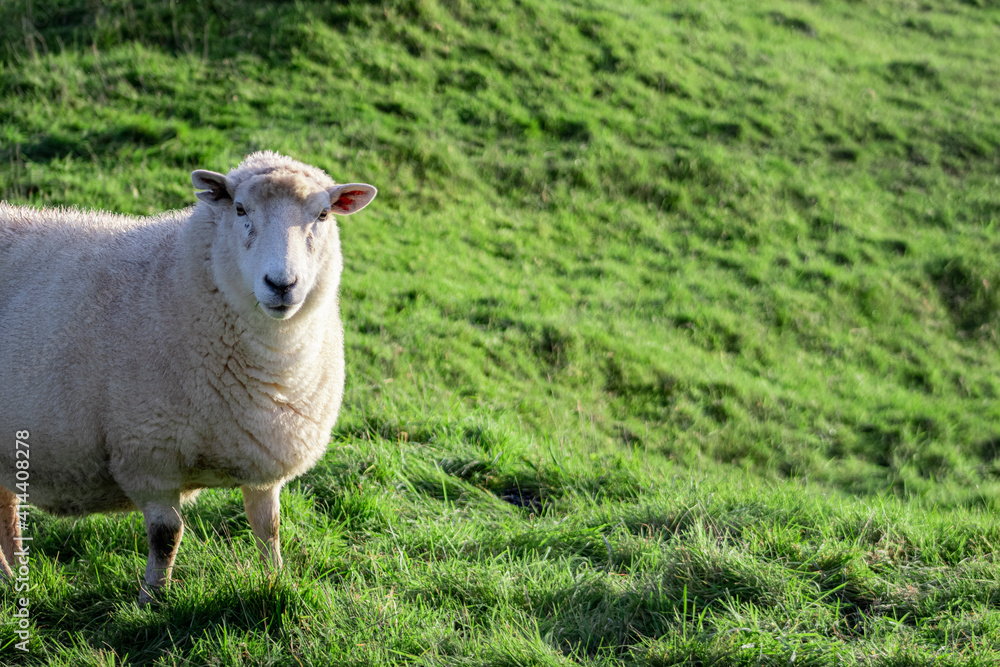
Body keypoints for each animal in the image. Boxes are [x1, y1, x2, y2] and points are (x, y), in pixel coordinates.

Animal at [0, 151, 377, 603]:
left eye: (322, 214)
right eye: (239, 209)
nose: (281, 284)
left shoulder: (262, 458)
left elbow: (268, 528)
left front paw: (276, 581)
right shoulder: (148, 453)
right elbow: (167, 534)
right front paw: (152, 600)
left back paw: (13, 579)